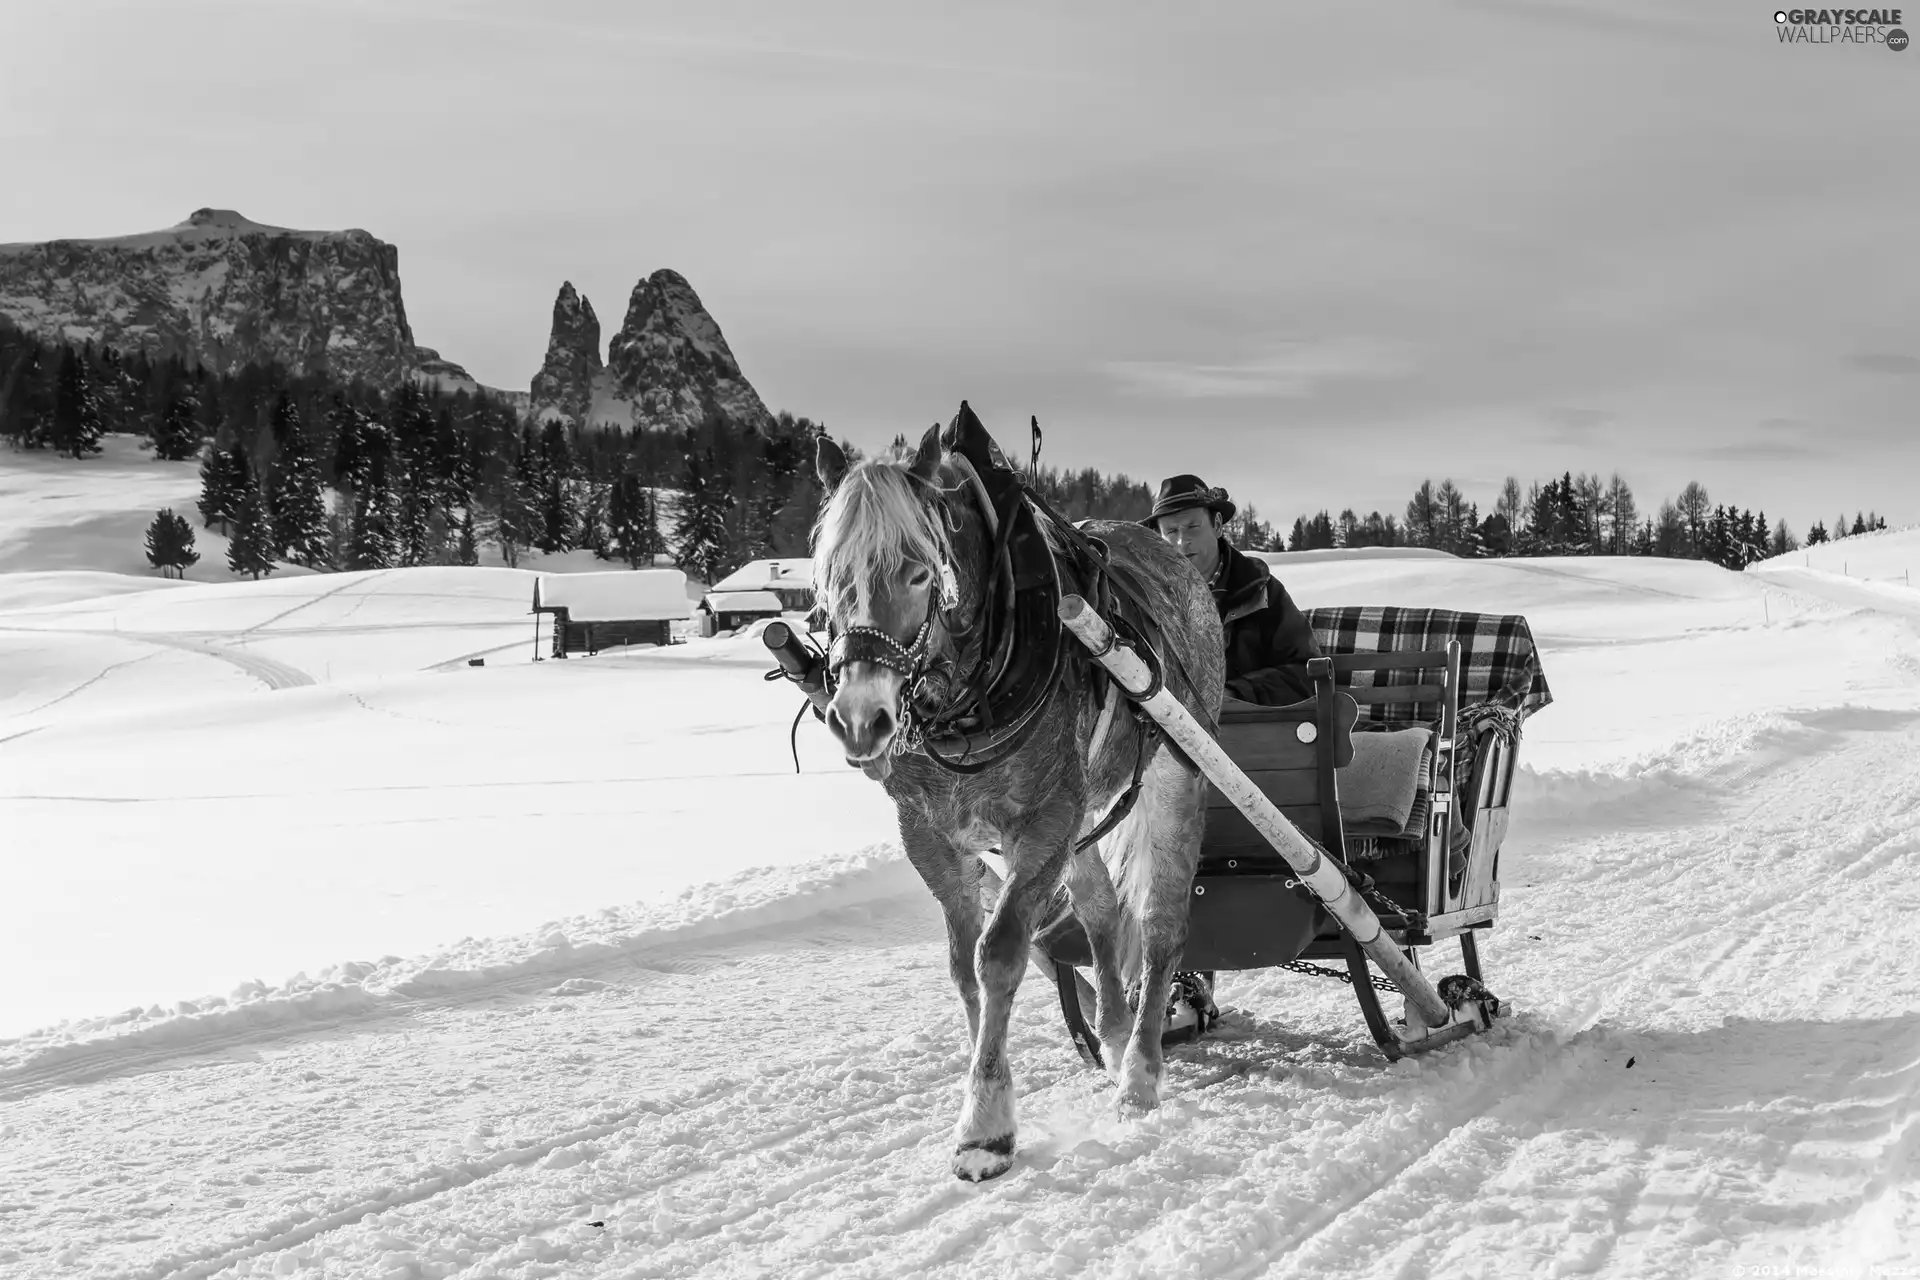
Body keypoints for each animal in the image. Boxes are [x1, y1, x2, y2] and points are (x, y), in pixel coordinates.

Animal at [802, 404, 1221, 1189]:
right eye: (828, 578)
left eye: (918, 570)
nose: (861, 717)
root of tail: (1177, 561)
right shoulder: (932, 837)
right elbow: (965, 968)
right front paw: (987, 1085)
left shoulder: (1045, 822)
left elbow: (998, 954)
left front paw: (985, 1126)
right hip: (1085, 815)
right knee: (1101, 909)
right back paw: (1113, 1036)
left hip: (1176, 773)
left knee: (1160, 925)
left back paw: (1140, 1073)